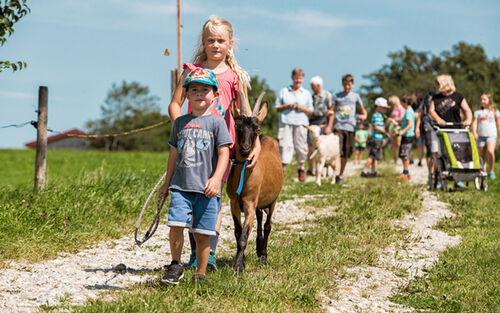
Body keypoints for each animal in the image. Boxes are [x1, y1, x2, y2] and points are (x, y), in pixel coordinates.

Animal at [228, 91, 286, 270]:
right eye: (237, 126)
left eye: (257, 128)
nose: (245, 149)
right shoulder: (234, 203)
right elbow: (238, 232)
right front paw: (241, 262)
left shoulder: (250, 203)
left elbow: (244, 236)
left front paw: (238, 266)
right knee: (260, 219)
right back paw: (259, 249)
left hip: (273, 200)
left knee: (267, 226)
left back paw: (263, 256)